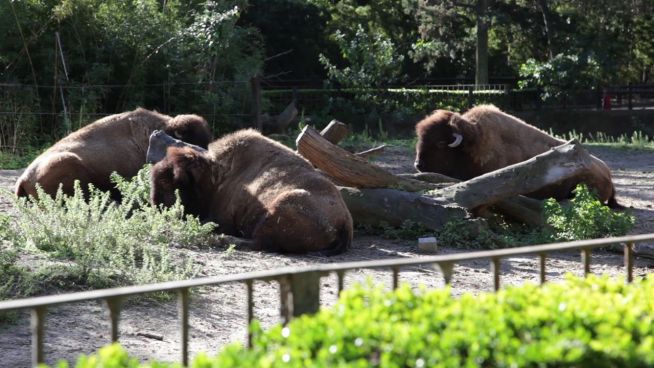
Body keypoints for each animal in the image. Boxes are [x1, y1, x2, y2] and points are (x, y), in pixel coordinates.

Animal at [150, 128, 354, 254]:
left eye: (173, 183)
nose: (158, 210)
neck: (216, 174)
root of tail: (346, 220)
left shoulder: (222, 218)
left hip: (282, 204)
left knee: (259, 242)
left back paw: (220, 239)